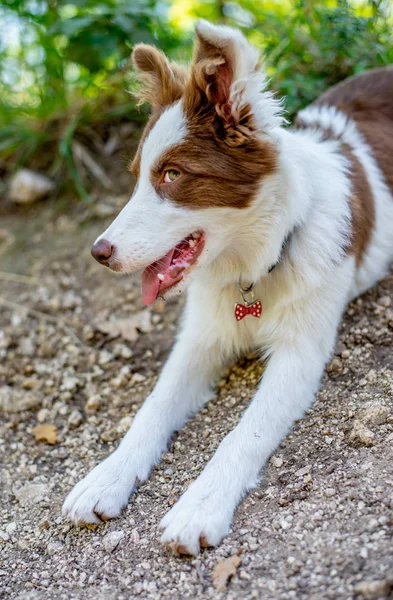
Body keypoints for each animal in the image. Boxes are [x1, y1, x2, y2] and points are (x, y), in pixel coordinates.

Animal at [61, 18, 392, 556]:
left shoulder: (300, 354)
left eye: (172, 174)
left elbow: (244, 433)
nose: (99, 252)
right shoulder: (200, 339)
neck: (256, 266)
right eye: (136, 178)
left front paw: (200, 506)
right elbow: (152, 408)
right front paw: (105, 477)